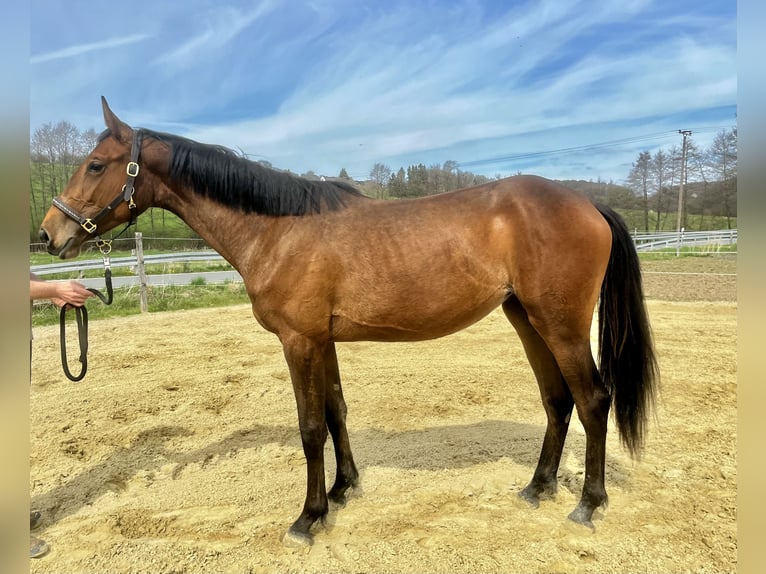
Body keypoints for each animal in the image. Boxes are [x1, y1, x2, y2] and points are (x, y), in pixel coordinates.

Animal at [39, 97, 658, 547]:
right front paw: (342, 489)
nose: (50, 234)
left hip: (561, 326)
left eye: (96, 164)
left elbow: (310, 427)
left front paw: (308, 517)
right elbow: (336, 411)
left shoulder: (299, 341)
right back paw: (538, 488)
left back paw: (588, 504)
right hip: (527, 320)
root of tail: (587, 204)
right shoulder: (324, 340)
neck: (279, 229)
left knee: (593, 400)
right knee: (557, 400)